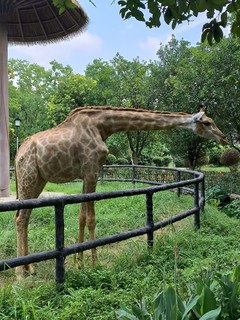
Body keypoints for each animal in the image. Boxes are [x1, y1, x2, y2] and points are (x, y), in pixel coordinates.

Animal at [14, 105, 228, 276]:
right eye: (207, 122)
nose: (224, 138)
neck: (102, 126)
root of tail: (17, 156)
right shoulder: (91, 170)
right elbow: (91, 218)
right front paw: (94, 263)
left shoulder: (87, 174)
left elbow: (82, 217)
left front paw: (80, 263)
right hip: (28, 177)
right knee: (20, 218)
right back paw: (20, 271)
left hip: (38, 181)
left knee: (24, 216)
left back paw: (28, 267)